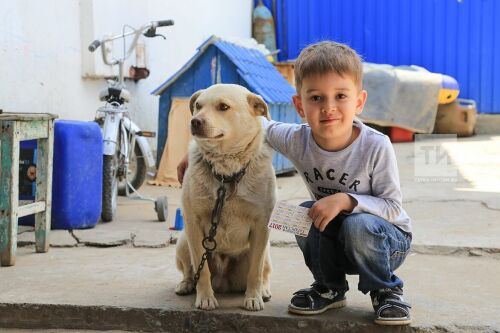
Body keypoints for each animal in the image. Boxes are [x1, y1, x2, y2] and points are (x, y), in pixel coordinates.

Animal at [176, 83, 278, 312]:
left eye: (223, 107)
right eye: (198, 106)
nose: (195, 121)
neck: (226, 171)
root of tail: (224, 281)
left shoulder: (261, 226)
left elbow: (255, 272)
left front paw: (253, 298)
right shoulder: (193, 224)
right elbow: (202, 270)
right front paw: (205, 298)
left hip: (266, 250)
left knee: (264, 271)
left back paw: (264, 290)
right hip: (183, 241)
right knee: (190, 269)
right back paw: (186, 284)